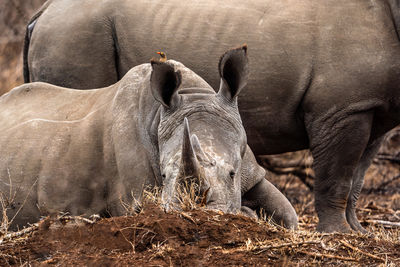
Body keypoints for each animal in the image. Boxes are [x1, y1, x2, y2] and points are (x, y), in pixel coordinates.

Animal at [0, 48, 296, 232]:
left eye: (233, 173)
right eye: (163, 176)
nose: (196, 214)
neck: (192, 96)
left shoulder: (252, 171)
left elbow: (288, 214)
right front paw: (249, 214)